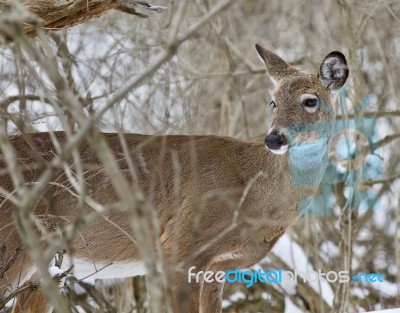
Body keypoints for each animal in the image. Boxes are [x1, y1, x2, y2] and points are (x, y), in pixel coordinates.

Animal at [0, 44, 348, 312]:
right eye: (273, 101)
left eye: (310, 101)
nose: (274, 138)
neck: (253, 197)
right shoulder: (181, 246)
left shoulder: (220, 268)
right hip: (12, 246)